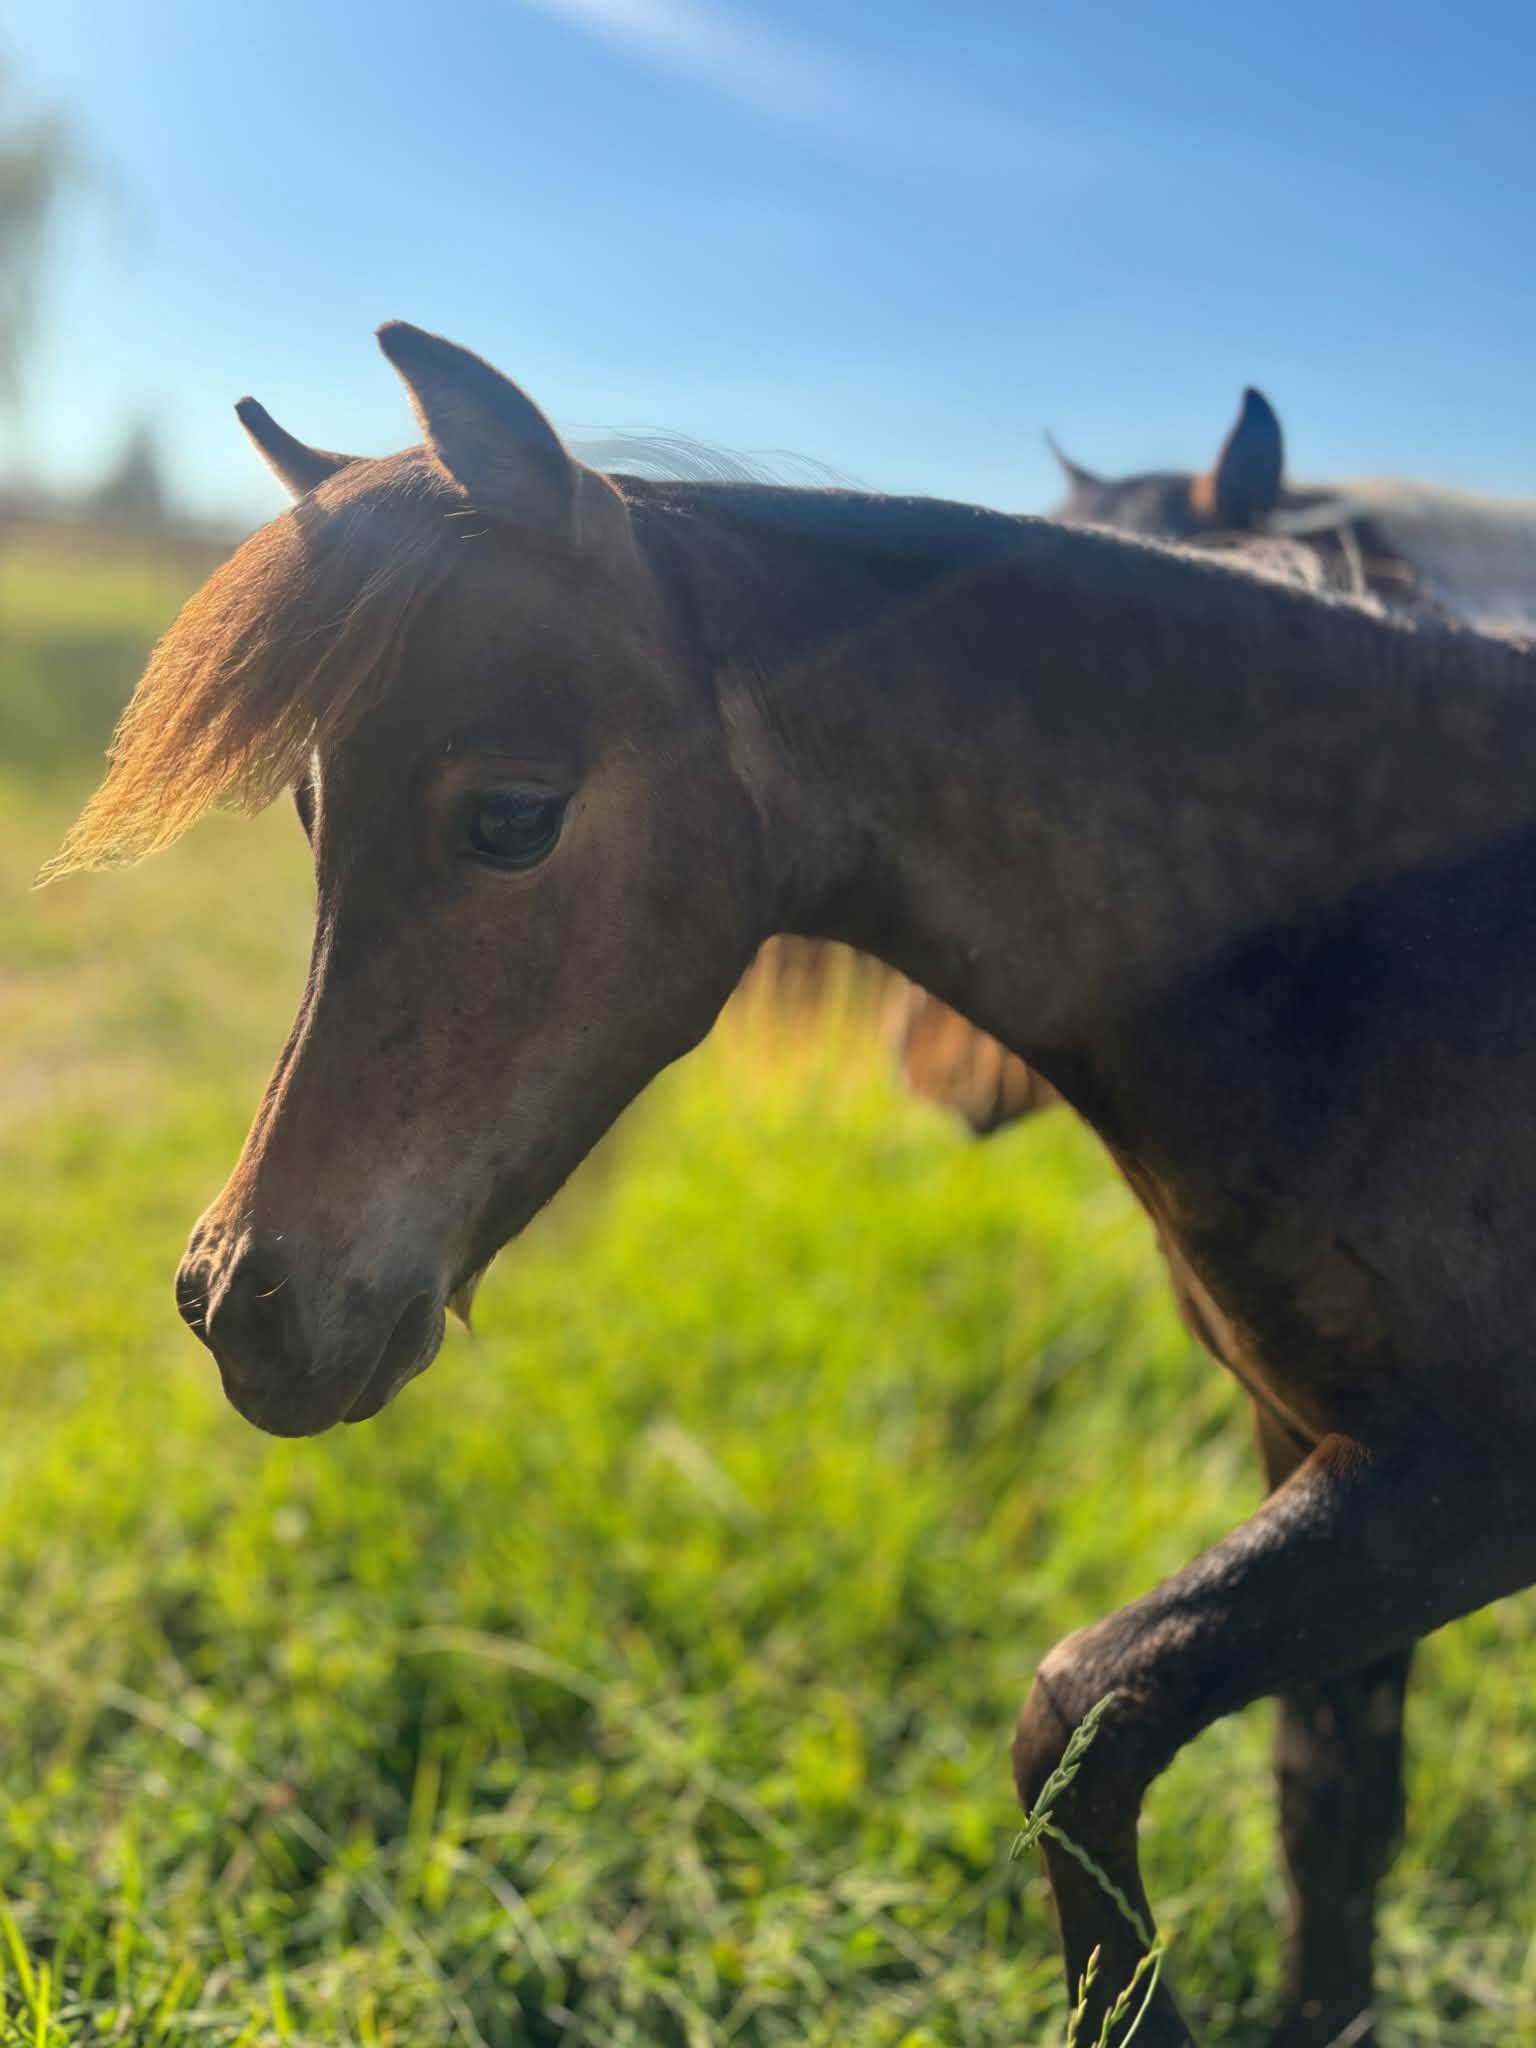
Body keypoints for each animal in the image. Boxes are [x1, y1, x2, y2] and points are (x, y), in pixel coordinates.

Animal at [47, 324, 1536, 2047]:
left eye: (511, 816)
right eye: (307, 817)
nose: (242, 1302)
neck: (1387, 949)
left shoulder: (1459, 1486)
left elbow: (1079, 1716)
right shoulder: (1325, 1444)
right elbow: (1330, 1809)